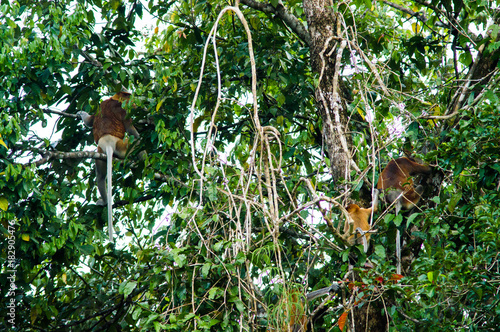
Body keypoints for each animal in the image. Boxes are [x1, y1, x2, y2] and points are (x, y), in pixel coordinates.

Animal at [78, 91, 141, 241]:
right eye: (128, 97)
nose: (134, 104)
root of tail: (107, 143)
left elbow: (90, 121)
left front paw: (81, 114)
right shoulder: (121, 109)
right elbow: (129, 127)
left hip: (99, 153)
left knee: (100, 177)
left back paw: (105, 202)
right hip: (123, 146)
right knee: (135, 142)